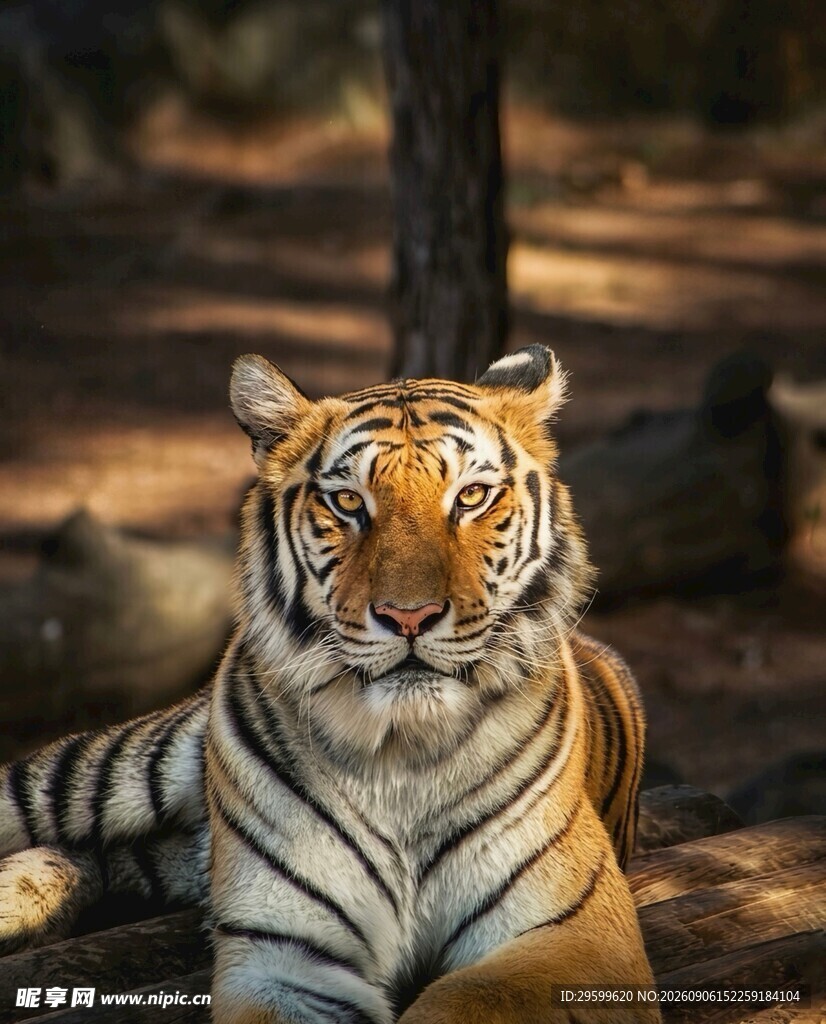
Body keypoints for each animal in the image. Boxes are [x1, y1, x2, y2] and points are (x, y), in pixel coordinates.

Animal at [0, 344, 660, 1024]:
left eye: (472, 496)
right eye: (348, 503)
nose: (409, 616)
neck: (403, 754)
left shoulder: (573, 934)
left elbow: (461, 1001)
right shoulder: (282, 954)